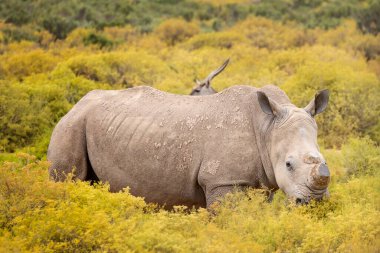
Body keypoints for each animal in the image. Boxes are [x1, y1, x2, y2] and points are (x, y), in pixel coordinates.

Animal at [48, 84, 330, 208]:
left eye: (324, 161)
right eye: (288, 164)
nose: (313, 201)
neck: (267, 128)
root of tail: (77, 103)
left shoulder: (261, 181)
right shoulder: (223, 181)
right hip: (72, 124)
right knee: (66, 179)